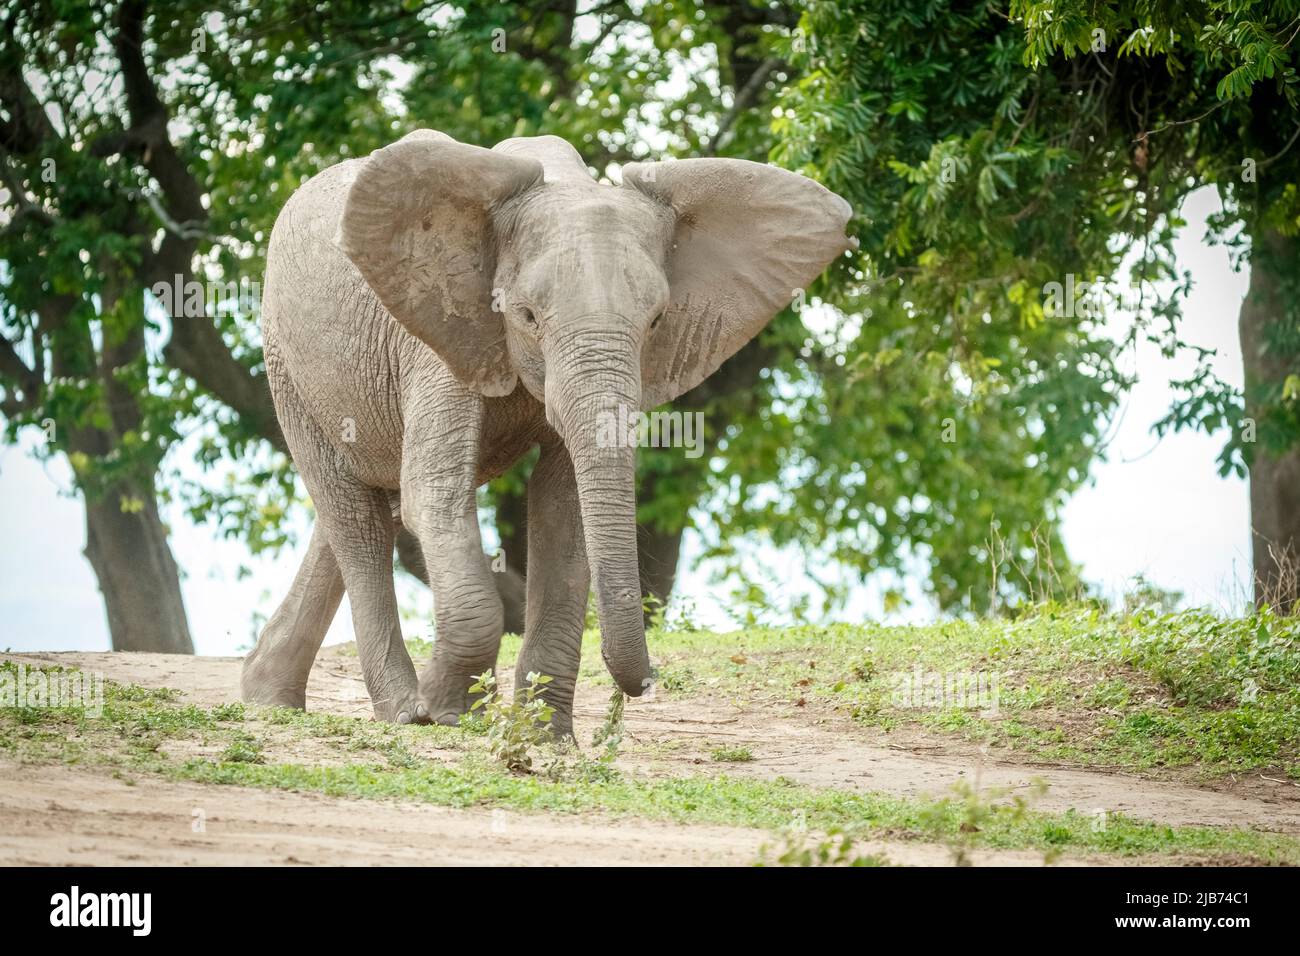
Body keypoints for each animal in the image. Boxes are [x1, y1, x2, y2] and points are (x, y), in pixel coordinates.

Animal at [240, 128, 857, 738]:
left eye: (657, 321)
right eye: (528, 316)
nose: (644, 686)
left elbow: (564, 511)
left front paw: (546, 735)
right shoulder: (440, 335)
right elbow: (434, 495)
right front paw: (450, 714)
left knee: (367, 506)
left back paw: (268, 697)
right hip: (285, 359)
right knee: (356, 519)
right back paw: (399, 710)